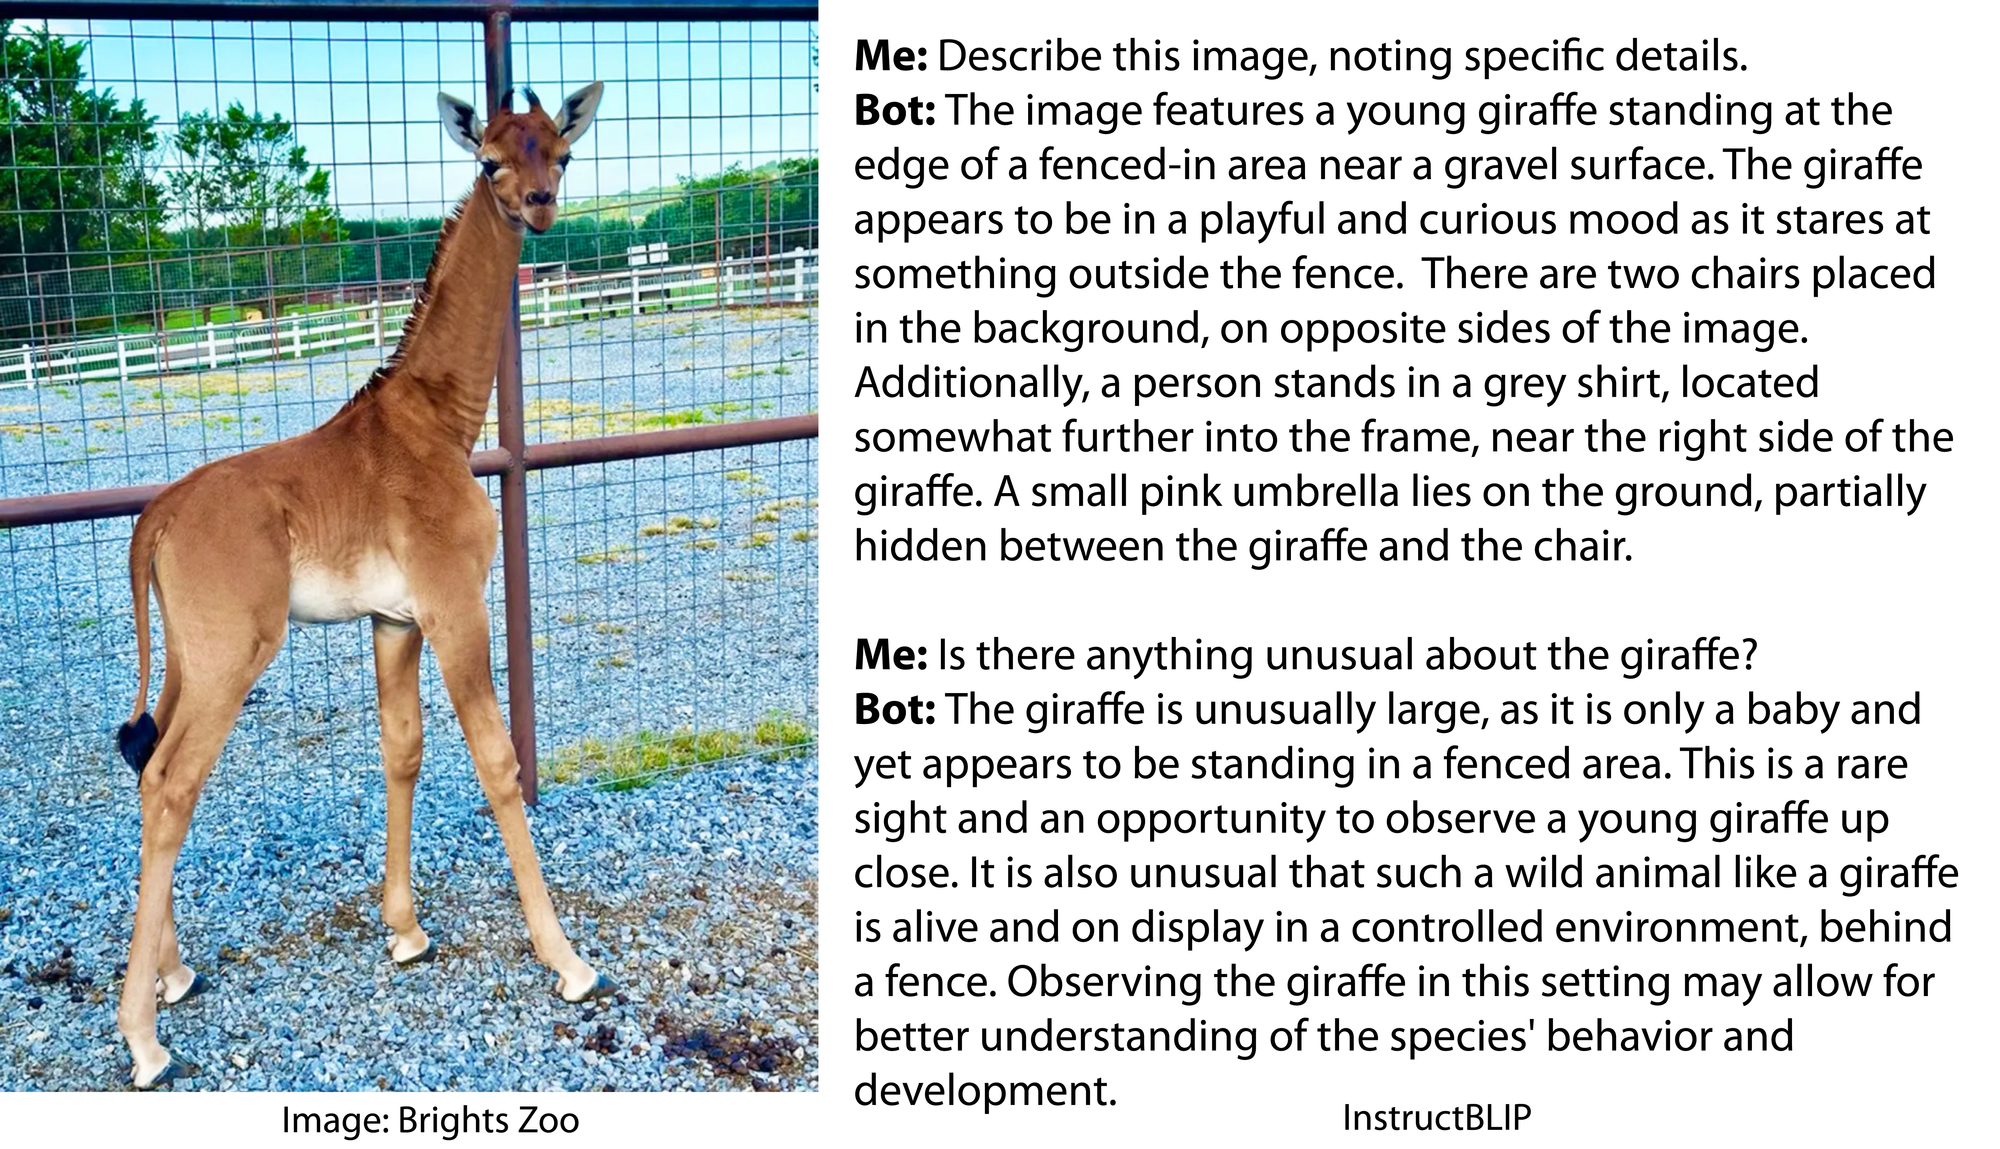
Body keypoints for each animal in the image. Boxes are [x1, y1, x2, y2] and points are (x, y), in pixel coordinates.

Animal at [112, 82, 610, 1089]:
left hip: (187, 655)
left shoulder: (393, 618)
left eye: (562, 153)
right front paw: (568, 960)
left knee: (148, 765)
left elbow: (403, 749)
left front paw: (407, 929)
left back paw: (175, 973)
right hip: (233, 654)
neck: (442, 422)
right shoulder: (456, 605)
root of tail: (157, 518)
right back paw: (144, 1039)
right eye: (489, 161)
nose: (539, 206)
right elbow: (497, 761)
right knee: (173, 784)